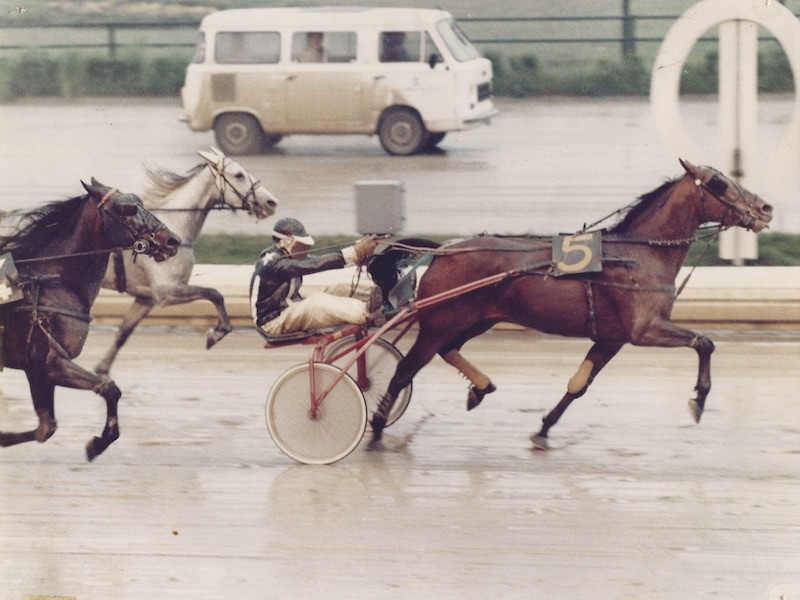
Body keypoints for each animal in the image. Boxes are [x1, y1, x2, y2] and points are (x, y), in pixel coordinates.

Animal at [0, 178, 180, 460]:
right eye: (127, 208)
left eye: (139, 202)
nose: (172, 240)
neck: (50, 282)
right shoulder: (49, 363)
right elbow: (109, 388)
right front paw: (98, 443)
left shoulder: (35, 368)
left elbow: (46, 428)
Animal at [95, 148, 278, 372]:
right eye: (239, 175)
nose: (271, 202)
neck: (173, 228)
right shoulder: (168, 291)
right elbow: (215, 294)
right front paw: (216, 333)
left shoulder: (147, 298)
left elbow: (123, 333)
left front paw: (102, 370)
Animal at [368, 159, 776, 450]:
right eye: (720, 184)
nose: (766, 208)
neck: (638, 254)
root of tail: (443, 250)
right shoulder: (644, 329)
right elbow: (704, 342)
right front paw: (699, 400)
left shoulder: (613, 338)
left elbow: (579, 383)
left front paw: (544, 430)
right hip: (441, 321)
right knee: (404, 369)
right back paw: (375, 430)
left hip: (474, 319)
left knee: (447, 350)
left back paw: (479, 388)